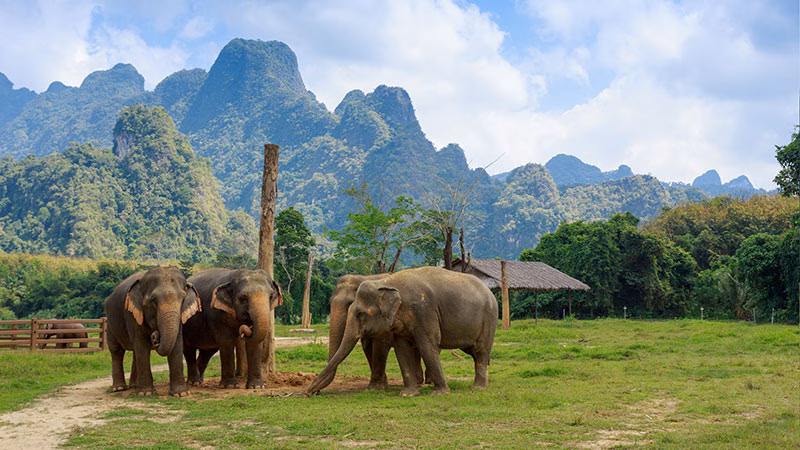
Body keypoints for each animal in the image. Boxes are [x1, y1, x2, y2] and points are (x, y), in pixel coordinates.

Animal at [105, 266, 200, 397]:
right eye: (153, 300)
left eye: (183, 299)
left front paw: (181, 394)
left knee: (134, 352)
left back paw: (134, 386)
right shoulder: (132, 314)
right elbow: (141, 345)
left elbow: (176, 343)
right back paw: (119, 388)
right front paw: (145, 393)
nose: (155, 336)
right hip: (109, 324)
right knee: (117, 351)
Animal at [306, 266, 498, 396]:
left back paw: (477, 387)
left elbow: (424, 344)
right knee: (471, 351)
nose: (310, 393)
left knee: (479, 351)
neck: (384, 283)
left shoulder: (423, 311)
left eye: (359, 313)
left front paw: (440, 393)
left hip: (489, 318)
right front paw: (405, 393)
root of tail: (489, 291)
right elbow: (399, 349)